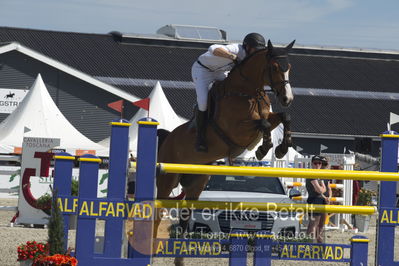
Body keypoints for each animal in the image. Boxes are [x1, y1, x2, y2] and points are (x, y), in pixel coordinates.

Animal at [155, 39, 296, 266]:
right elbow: (263, 123)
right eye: (275, 67)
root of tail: (168, 138)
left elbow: (284, 117)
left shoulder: (269, 116)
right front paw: (263, 149)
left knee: (185, 215)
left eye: (289, 67)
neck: (247, 92)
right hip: (168, 179)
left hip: (197, 182)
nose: (287, 98)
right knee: (158, 210)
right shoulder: (237, 130)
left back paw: (179, 259)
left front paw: (281, 148)